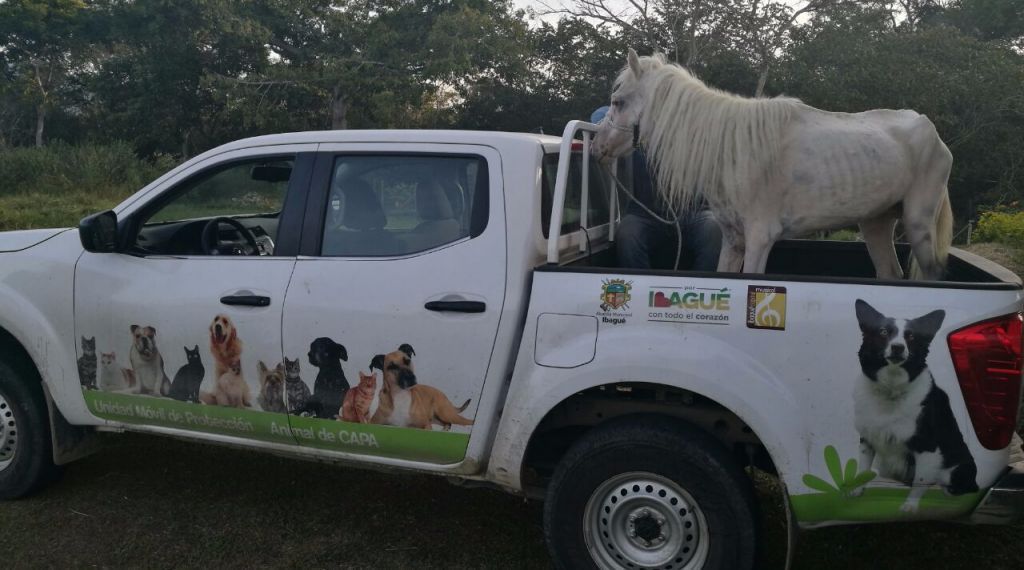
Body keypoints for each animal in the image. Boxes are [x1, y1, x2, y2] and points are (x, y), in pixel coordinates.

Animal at [592, 49, 954, 280]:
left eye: (618, 102)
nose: (598, 147)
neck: (730, 147)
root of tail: (932, 131)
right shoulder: (733, 239)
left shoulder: (760, 238)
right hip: (876, 222)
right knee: (889, 272)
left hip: (918, 223)